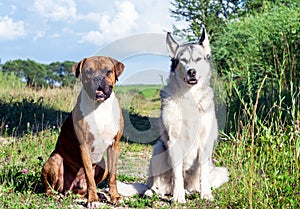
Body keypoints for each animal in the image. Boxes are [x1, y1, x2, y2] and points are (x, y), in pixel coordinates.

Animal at [41, 55, 124, 207]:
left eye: (108, 71)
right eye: (88, 72)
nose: (98, 78)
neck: (100, 107)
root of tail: (70, 190)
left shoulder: (114, 145)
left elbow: (112, 176)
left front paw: (115, 197)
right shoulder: (84, 146)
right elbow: (89, 176)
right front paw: (92, 200)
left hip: (102, 165)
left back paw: (98, 195)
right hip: (54, 161)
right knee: (49, 188)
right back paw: (57, 196)